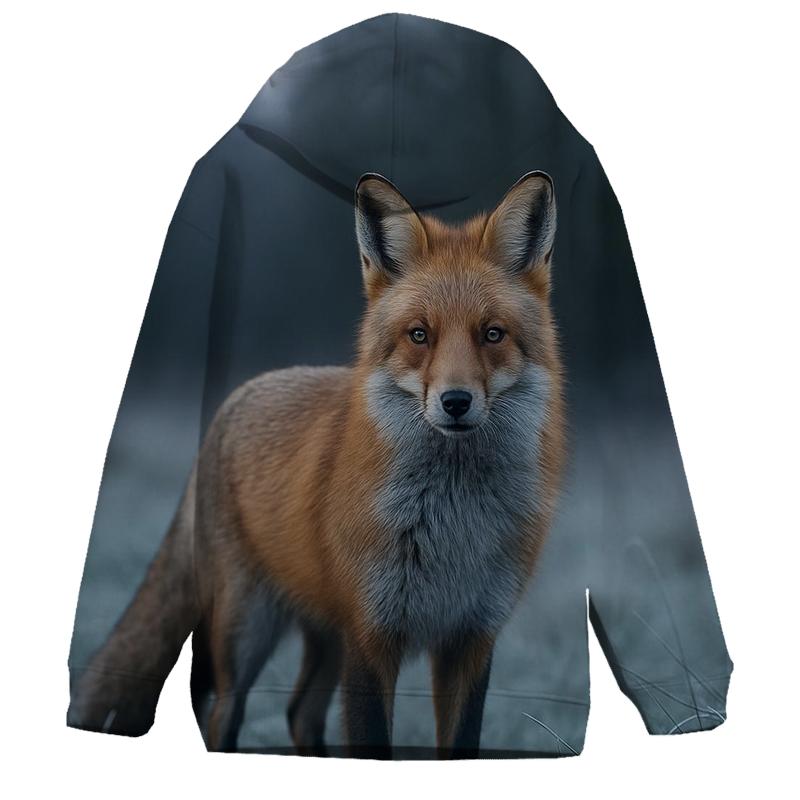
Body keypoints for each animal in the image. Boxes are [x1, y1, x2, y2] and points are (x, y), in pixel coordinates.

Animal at [68, 170, 566, 759]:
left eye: (492, 334)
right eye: (419, 335)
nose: (456, 402)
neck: (453, 525)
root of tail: (237, 398)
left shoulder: (470, 639)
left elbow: (460, 741)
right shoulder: (372, 633)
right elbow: (371, 741)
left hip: (327, 633)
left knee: (299, 711)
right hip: (246, 630)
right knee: (221, 714)